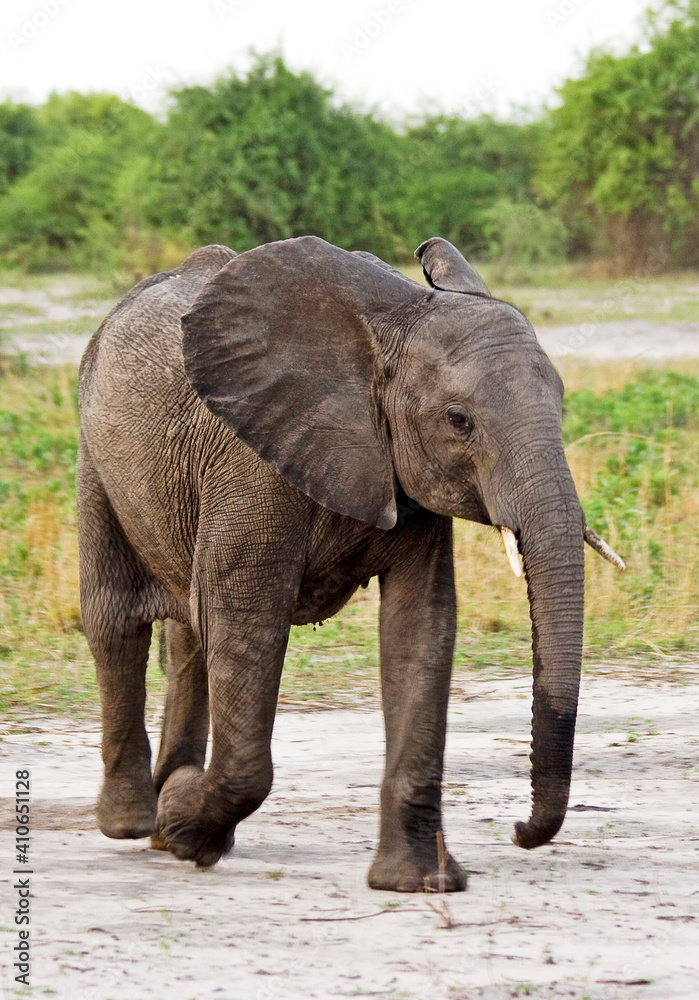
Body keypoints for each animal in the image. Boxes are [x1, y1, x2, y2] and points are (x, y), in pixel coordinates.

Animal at [77, 235, 623, 892]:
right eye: (458, 421)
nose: (518, 831)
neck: (396, 320)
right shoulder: (252, 462)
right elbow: (247, 625)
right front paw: (184, 825)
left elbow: (420, 629)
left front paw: (418, 884)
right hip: (95, 451)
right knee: (117, 622)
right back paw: (137, 821)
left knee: (187, 634)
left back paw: (164, 812)